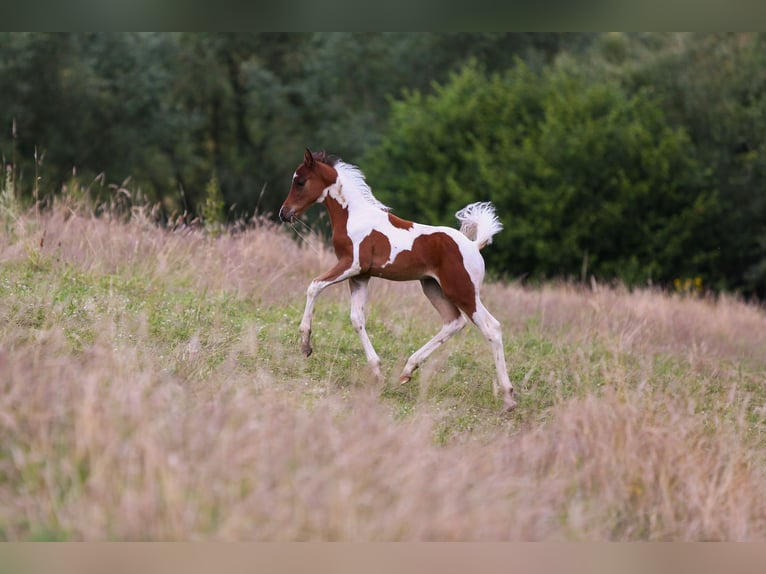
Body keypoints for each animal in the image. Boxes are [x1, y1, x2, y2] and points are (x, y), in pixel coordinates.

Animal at [280, 147, 520, 410]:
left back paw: (508, 397)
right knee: (454, 322)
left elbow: (314, 286)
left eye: (300, 181)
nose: (284, 213)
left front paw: (305, 345)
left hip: (463, 291)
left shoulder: (351, 265)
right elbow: (356, 318)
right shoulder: (361, 276)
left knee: (491, 327)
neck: (354, 216)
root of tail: (475, 246)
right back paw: (407, 370)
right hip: (433, 287)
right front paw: (377, 371)